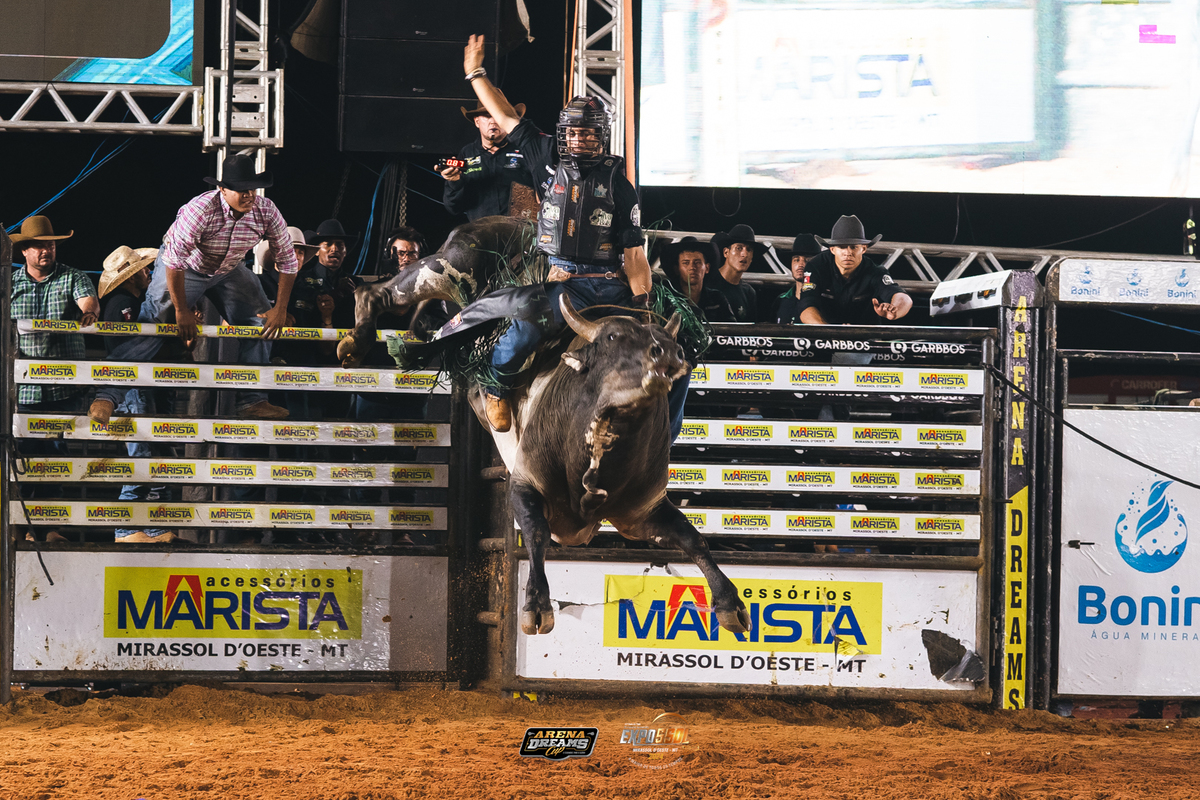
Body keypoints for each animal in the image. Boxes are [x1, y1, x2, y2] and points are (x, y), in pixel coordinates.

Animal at [338, 216, 750, 636]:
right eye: (612, 337)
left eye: (667, 338)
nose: (670, 353)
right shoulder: (525, 481)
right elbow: (535, 532)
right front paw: (536, 604)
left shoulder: (642, 512)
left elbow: (693, 538)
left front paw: (730, 603)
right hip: (450, 265)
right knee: (395, 287)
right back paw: (357, 336)